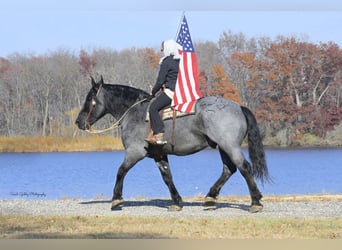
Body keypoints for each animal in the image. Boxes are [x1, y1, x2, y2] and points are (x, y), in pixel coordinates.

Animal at [75, 76, 270, 213]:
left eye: (89, 99)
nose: (78, 122)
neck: (136, 112)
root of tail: (238, 107)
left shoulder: (135, 152)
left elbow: (121, 171)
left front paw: (116, 199)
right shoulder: (159, 154)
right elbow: (167, 177)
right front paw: (176, 201)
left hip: (230, 147)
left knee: (244, 168)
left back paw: (255, 201)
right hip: (223, 147)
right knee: (229, 169)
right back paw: (210, 198)